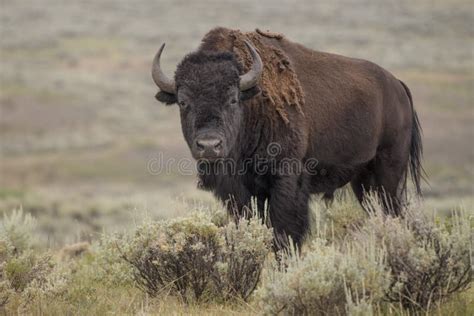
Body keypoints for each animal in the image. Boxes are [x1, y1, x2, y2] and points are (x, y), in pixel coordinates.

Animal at [153, 27, 426, 248]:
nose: (209, 146)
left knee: (393, 212)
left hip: (388, 172)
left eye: (232, 99)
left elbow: (284, 234)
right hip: (362, 179)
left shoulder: (286, 181)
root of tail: (398, 86)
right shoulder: (239, 191)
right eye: (183, 102)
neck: (253, 104)